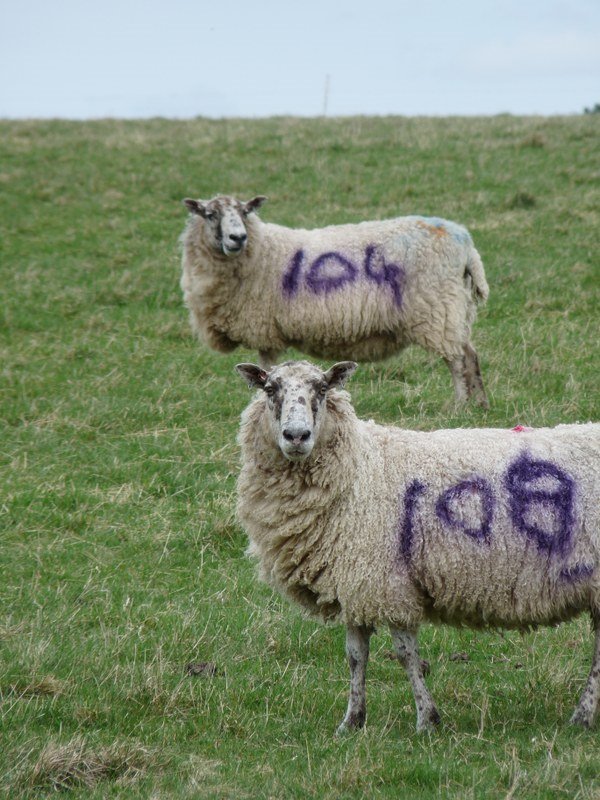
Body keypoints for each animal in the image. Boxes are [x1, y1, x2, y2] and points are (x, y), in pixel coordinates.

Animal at [180, 194, 490, 406]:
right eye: (210, 214)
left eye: (245, 212)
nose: (238, 237)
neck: (261, 250)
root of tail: (465, 243)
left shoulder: (264, 329)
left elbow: (266, 367)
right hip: (454, 309)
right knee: (470, 354)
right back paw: (480, 405)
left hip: (438, 309)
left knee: (457, 360)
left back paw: (459, 405)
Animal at [233, 360, 600, 736]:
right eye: (270, 389)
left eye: (322, 389)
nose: (297, 436)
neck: (361, 468)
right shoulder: (356, 583)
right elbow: (355, 655)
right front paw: (352, 722)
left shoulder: (387, 583)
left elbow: (405, 654)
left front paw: (426, 720)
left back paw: (582, 716)